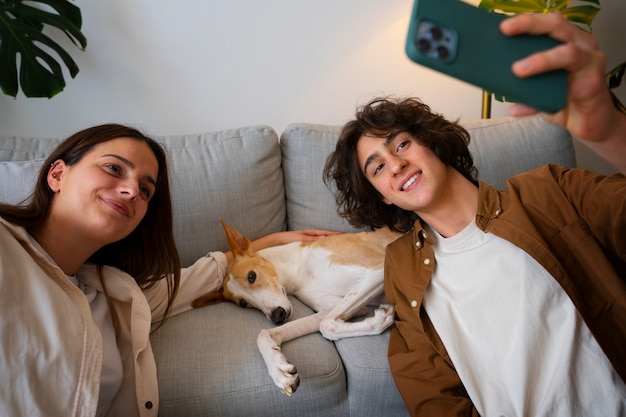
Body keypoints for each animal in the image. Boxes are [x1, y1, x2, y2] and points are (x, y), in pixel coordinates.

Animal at [191, 219, 400, 394]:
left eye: (251, 276)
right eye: (242, 304)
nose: (277, 316)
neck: (299, 269)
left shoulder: (377, 269)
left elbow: (327, 325)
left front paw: (382, 319)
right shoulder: (343, 308)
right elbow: (271, 332)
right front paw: (278, 370)